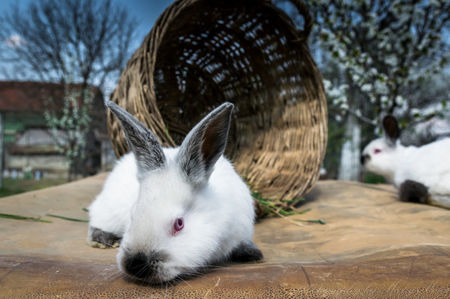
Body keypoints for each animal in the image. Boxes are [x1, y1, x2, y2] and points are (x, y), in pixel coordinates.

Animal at [87, 101, 262, 284]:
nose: (135, 265)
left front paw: (254, 255)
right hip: (107, 212)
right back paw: (103, 240)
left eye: (179, 223)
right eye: (132, 215)